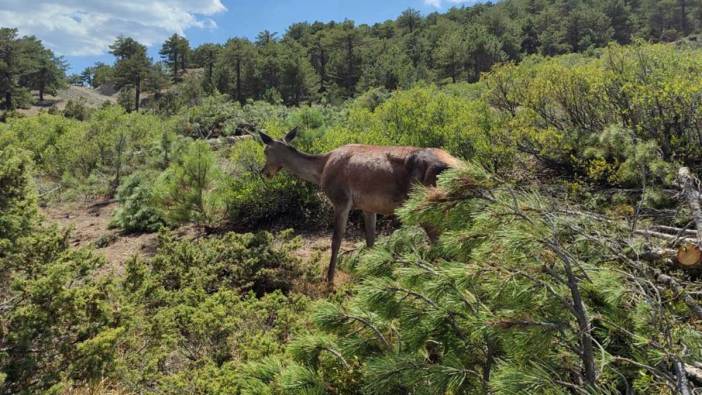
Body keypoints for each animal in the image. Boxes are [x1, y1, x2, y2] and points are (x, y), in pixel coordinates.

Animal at [258, 128, 462, 286]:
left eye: (265, 150)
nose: (264, 172)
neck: (321, 170)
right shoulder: (368, 206)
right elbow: (371, 241)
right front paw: (371, 273)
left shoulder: (341, 199)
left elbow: (336, 240)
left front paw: (329, 279)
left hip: (426, 205)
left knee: (440, 240)